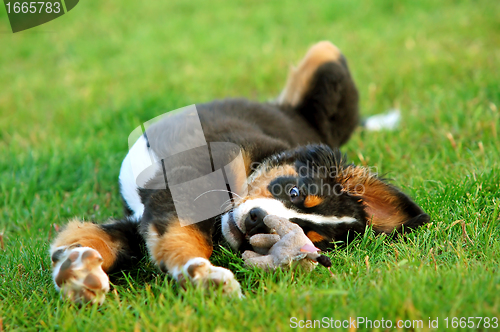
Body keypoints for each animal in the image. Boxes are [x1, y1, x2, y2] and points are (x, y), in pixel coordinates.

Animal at [48, 40, 428, 304]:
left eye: (309, 235)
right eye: (294, 192)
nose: (257, 220)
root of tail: (287, 111)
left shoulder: (148, 214)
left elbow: (112, 239)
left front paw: (77, 270)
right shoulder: (186, 181)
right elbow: (183, 235)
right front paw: (202, 274)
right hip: (328, 57)